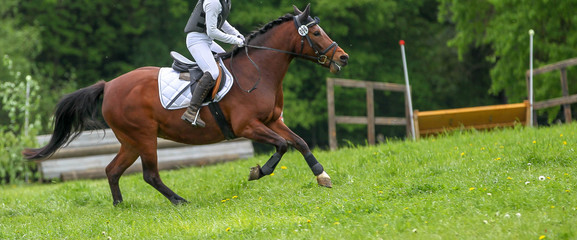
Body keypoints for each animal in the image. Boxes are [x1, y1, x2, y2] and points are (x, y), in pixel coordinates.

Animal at [22, 4, 348, 205]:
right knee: (149, 174)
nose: (343, 57)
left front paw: (322, 176)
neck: (259, 71)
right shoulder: (249, 126)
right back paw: (179, 200)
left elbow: (300, 143)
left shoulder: (272, 121)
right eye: (316, 33)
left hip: (130, 140)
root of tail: (109, 85)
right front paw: (257, 172)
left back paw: (119, 205)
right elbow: (282, 146)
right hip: (144, 136)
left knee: (112, 170)